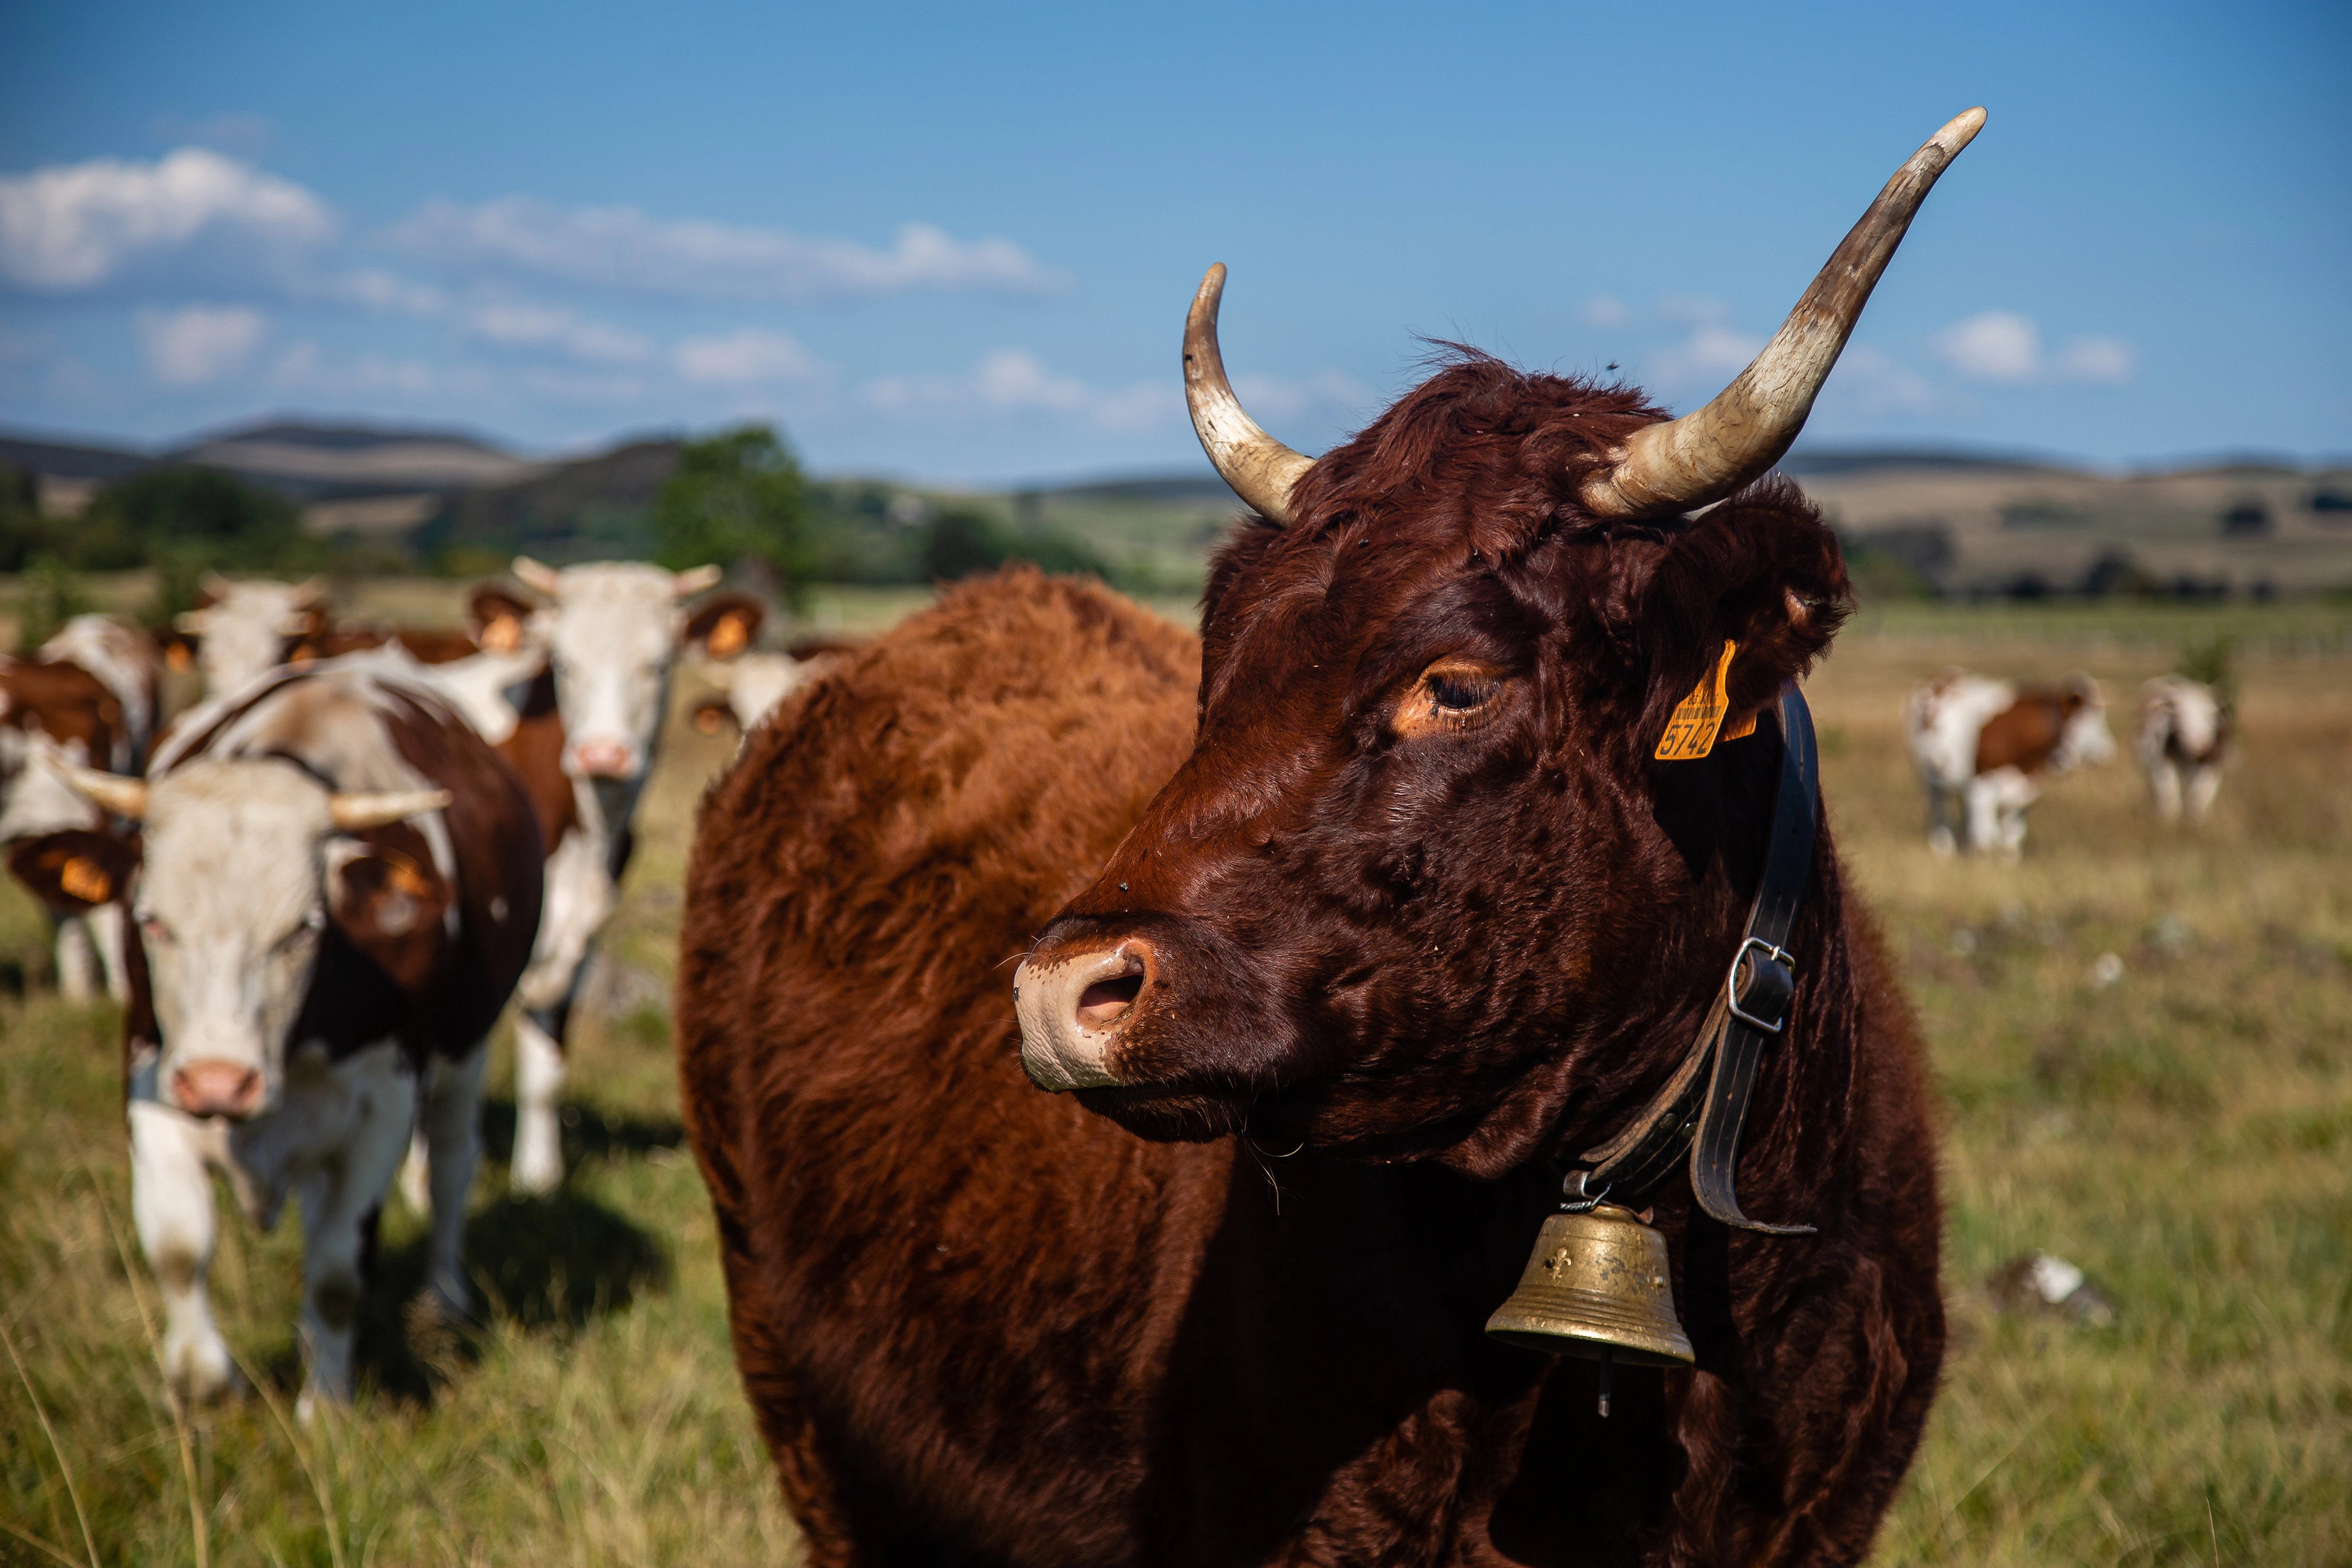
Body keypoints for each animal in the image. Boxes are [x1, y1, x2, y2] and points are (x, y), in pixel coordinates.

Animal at [19, 655, 544, 1415]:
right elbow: (179, 1248)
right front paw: (210, 1387)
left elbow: (337, 1272)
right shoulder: (152, 1079)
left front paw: (326, 1409)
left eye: (304, 928)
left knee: (450, 1167)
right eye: (151, 920)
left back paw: (444, 1297)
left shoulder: (384, 1110)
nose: (219, 1082)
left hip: (464, 1052)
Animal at [1904, 668, 2116, 859]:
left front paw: (2007, 862)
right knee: (1939, 811)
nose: (2107, 751)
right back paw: (1944, 849)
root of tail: (1943, 675)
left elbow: (2013, 836)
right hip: (1928, 777)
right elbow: (1984, 839)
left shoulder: (2029, 790)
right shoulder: (1982, 787)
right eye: (2090, 719)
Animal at [2137, 675, 2227, 824]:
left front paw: (2197, 822)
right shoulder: (2162, 763)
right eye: (2179, 716)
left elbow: (2200, 794)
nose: (2201, 744)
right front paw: (2168, 820)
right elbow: (2170, 792)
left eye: (2210, 714)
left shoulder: (2214, 763)